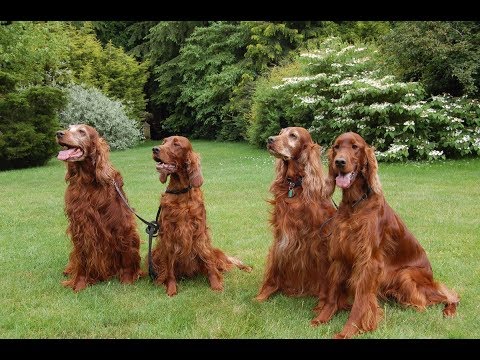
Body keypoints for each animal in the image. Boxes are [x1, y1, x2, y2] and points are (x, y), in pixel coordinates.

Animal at [55, 124, 142, 292]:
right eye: (69, 127)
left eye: (81, 131)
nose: (59, 133)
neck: (87, 181)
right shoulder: (81, 226)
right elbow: (82, 258)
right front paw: (80, 283)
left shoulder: (122, 225)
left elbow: (127, 257)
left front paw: (127, 280)